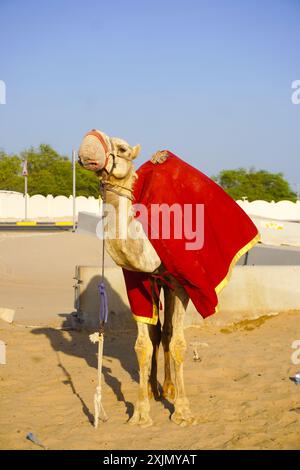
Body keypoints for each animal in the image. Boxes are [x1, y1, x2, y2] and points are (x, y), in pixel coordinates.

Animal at [78, 129, 198, 426]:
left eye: (121, 148)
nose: (88, 144)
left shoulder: (180, 284)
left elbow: (178, 342)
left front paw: (183, 411)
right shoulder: (137, 280)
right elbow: (143, 345)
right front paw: (141, 413)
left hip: (169, 285)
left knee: (168, 332)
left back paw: (170, 388)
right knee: (158, 333)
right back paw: (156, 389)